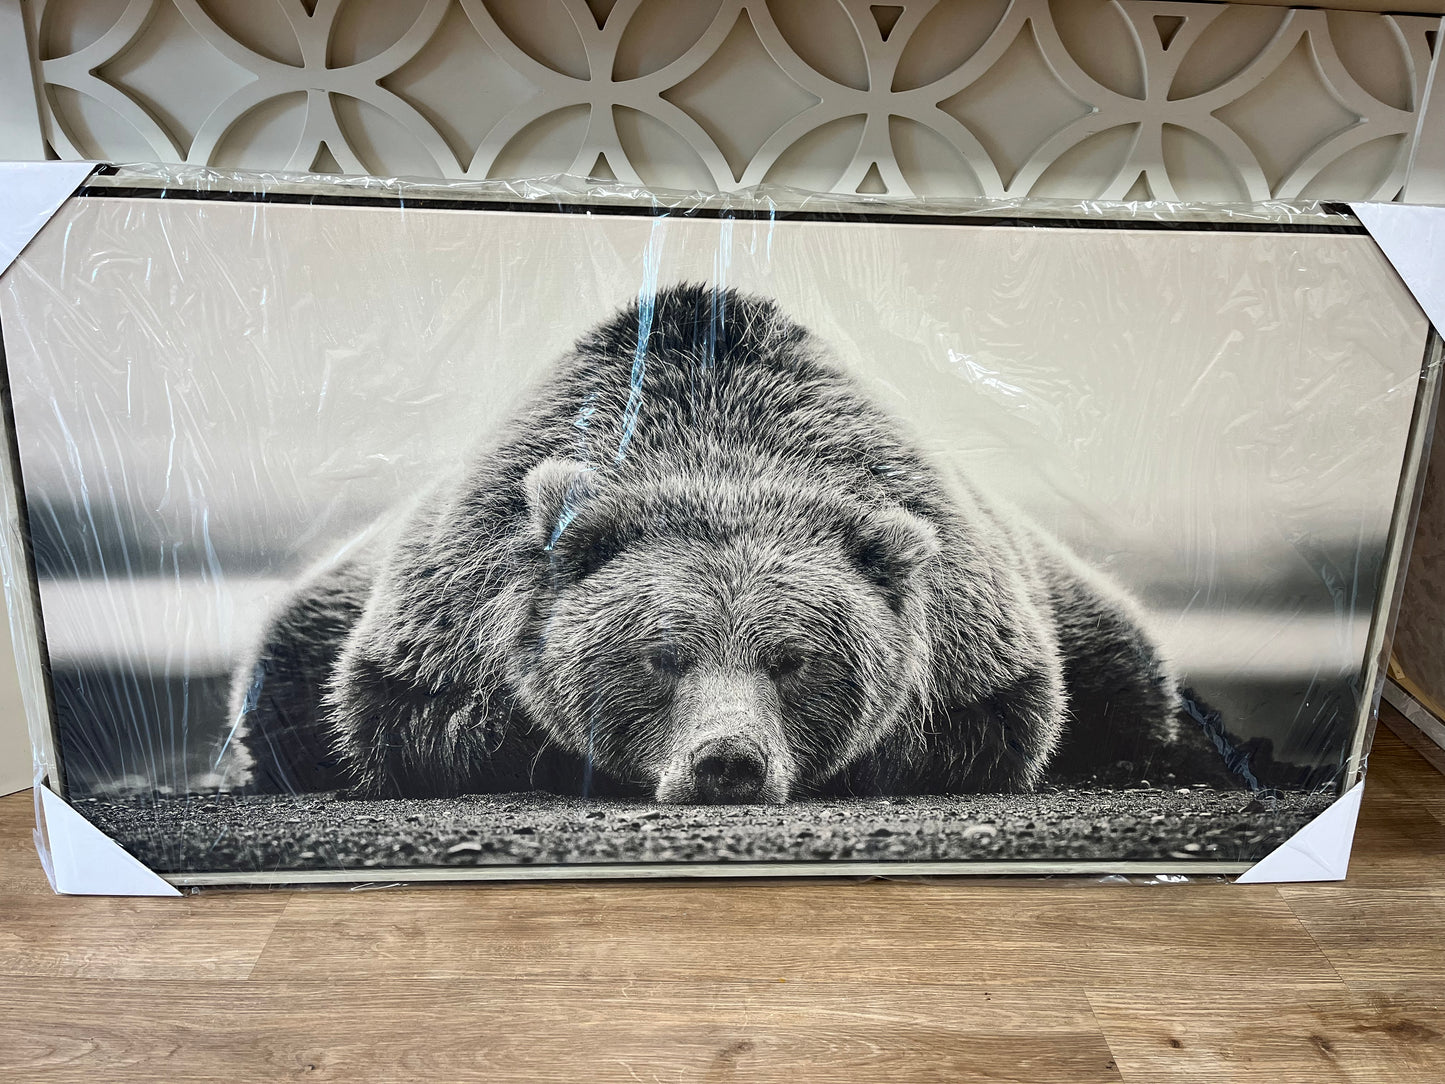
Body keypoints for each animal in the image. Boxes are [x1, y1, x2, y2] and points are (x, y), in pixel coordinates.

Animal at [219, 283, 1208, 802]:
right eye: (660, 655)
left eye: (793, 659)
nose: (726, 761)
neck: (715, 449)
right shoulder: (445, 609)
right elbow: (406, 715)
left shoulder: (978, 632)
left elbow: (997, 722)